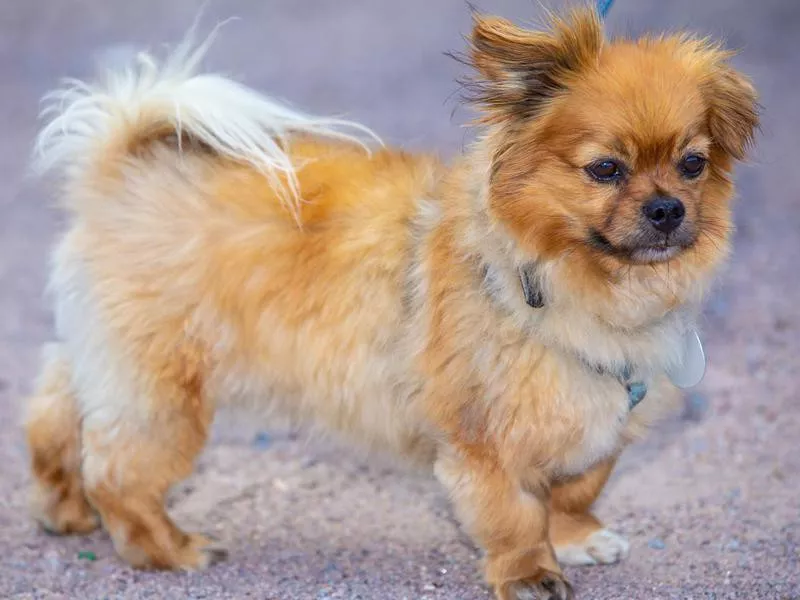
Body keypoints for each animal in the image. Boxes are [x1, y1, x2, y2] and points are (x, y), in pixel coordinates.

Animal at [23, 5, 756, 600]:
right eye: (605, 169)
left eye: (693, 164)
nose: (667, 209)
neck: (559, 279)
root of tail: (119, 166)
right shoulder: (482, 440)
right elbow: (515, 514)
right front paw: (530, 573)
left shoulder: (601, 414)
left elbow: (577, 486)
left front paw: (577, 537)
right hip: (166, 398)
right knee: (118, 473)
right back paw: (168, 549)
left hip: (105, 365)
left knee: (53, 417)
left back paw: (64, 509)